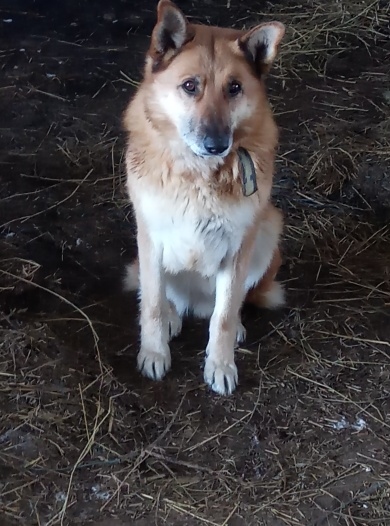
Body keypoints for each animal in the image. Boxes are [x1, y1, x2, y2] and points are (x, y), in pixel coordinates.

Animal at [123, 0, 284, 396]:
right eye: (189, 86)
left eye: (235, 88)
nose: (216, 145)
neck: (199, 174)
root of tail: (195, 303)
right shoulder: (150, 238)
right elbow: (151, 304)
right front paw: (154, 353)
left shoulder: (239, 248)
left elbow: (223, 317)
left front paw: (220, 365)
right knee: (164, 297)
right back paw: (172, 315)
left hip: (270, 227)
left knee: (229, 304)